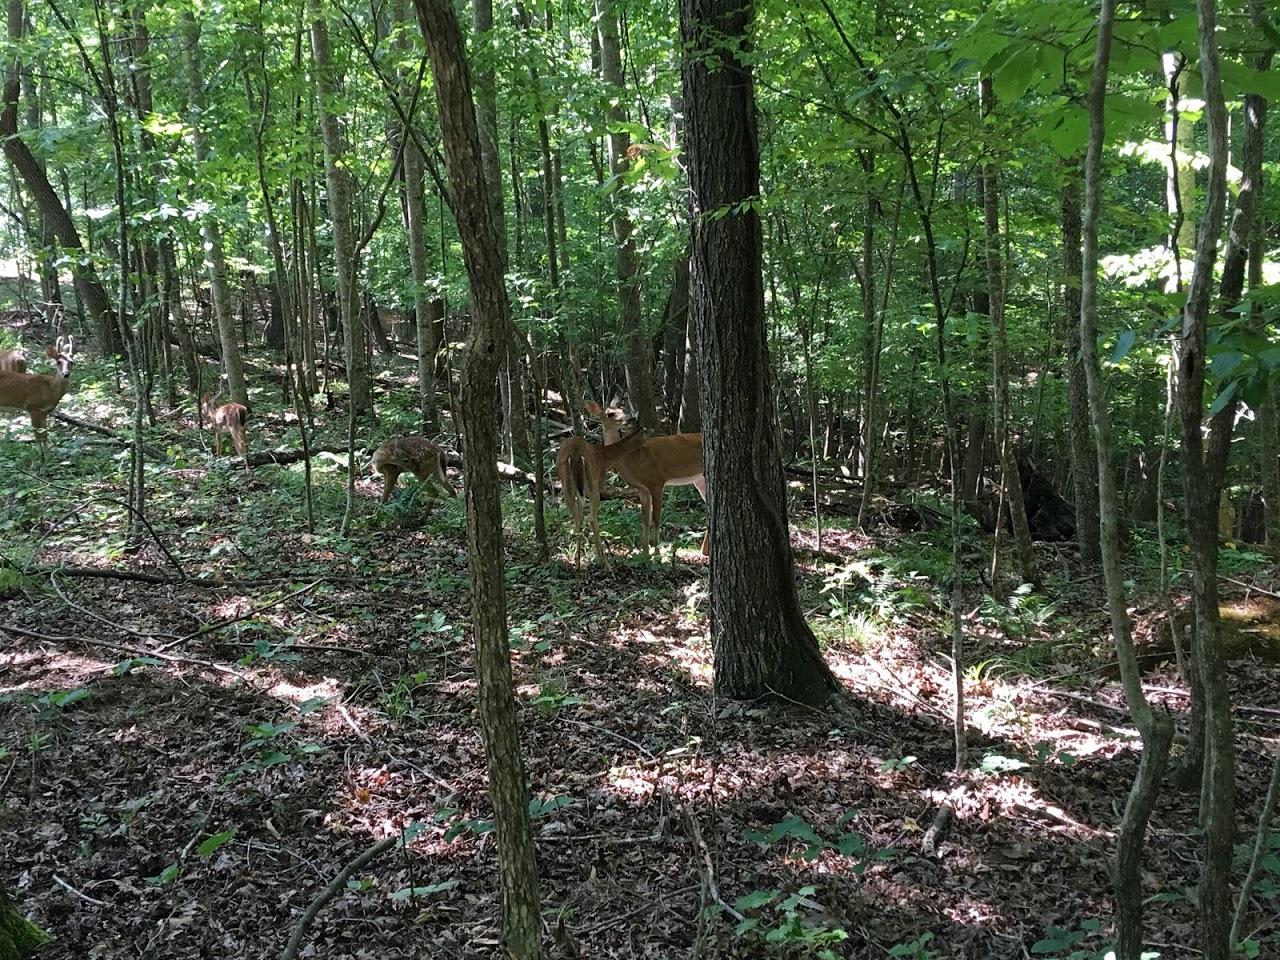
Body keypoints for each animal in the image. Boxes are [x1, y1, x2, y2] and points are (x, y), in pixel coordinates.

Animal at [555, 421, 649, 568]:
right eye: (645, 437)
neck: (604, 457)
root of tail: (575, 454)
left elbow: (580, 519)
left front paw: (578, 559)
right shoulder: (596, 484)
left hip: (566, 485)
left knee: (576, 520)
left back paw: (577, 563)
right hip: (592, 484)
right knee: (592, 519)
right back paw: (606, 565)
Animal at [587, 400, 708, 559]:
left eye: (623, 409)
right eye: (610, 414)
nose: (631, 419)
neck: (632, 459)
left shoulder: (656, 481)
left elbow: (656, 518)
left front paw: (656, 552)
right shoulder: (642, 488)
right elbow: (645, 518)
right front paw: (644, 552)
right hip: (699, 480)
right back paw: (703, 551)